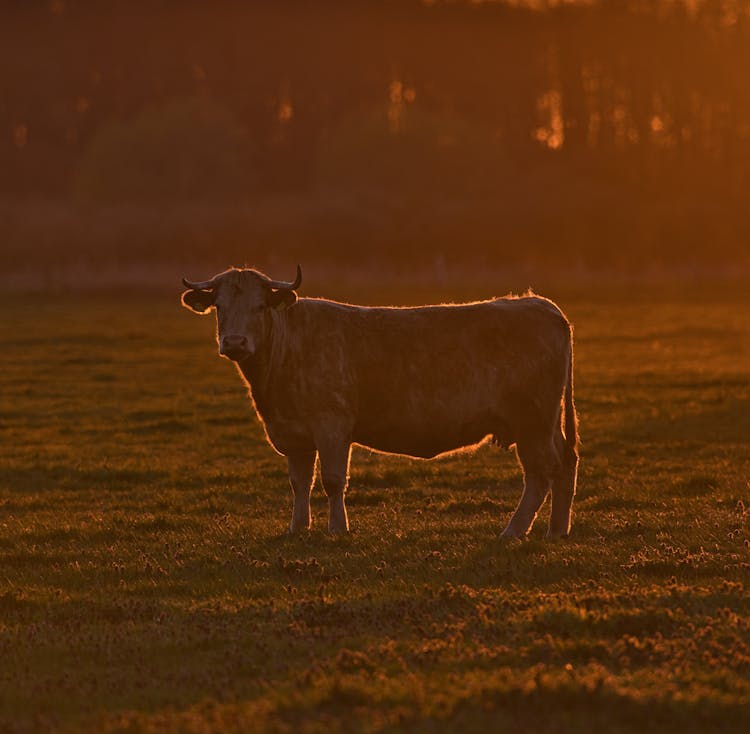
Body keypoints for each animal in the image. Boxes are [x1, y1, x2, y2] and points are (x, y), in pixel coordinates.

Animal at [182, 268, 580, 540]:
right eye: (219, 307)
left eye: (260, 305)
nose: (235, 342)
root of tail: (538, 303)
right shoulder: (295, 435)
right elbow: (299, 483)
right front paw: (298, 529)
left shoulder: (332, 426)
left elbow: (332, 481)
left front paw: (337, 529)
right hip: (546, 421)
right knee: (565, 463)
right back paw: (556, 530)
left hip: (533, 421)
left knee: (542, 472)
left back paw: (513, 531)